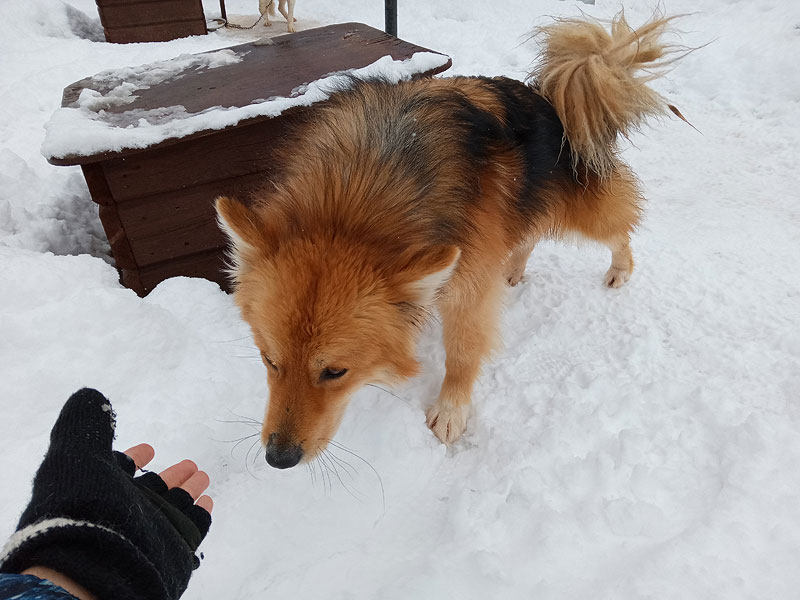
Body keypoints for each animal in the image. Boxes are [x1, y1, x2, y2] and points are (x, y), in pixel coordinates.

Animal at [216, 13, 686, 468]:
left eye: (335, 372)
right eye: (269, 360)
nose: (278, 459)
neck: (358, 195)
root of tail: (550, 97)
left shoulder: (468, 286)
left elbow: (461, 354)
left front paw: (450, 411)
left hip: (583, 212)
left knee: (619, 229)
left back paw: (619, 269)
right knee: (527, 236)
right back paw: (513, 269)